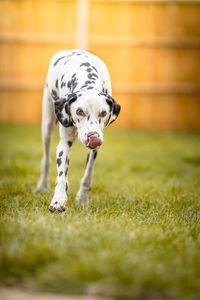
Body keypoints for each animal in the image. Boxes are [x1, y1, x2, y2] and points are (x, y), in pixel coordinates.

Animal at [36, 49, 120, 212]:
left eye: (103, 113)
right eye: (79, 111)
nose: (93, 136)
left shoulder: (95, 149)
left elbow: (88, 175)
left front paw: (82, 198)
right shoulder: (64, 144)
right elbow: (61, 176)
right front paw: (58, 200)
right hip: (47, 125)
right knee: (46, 159)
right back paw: (43, 185)